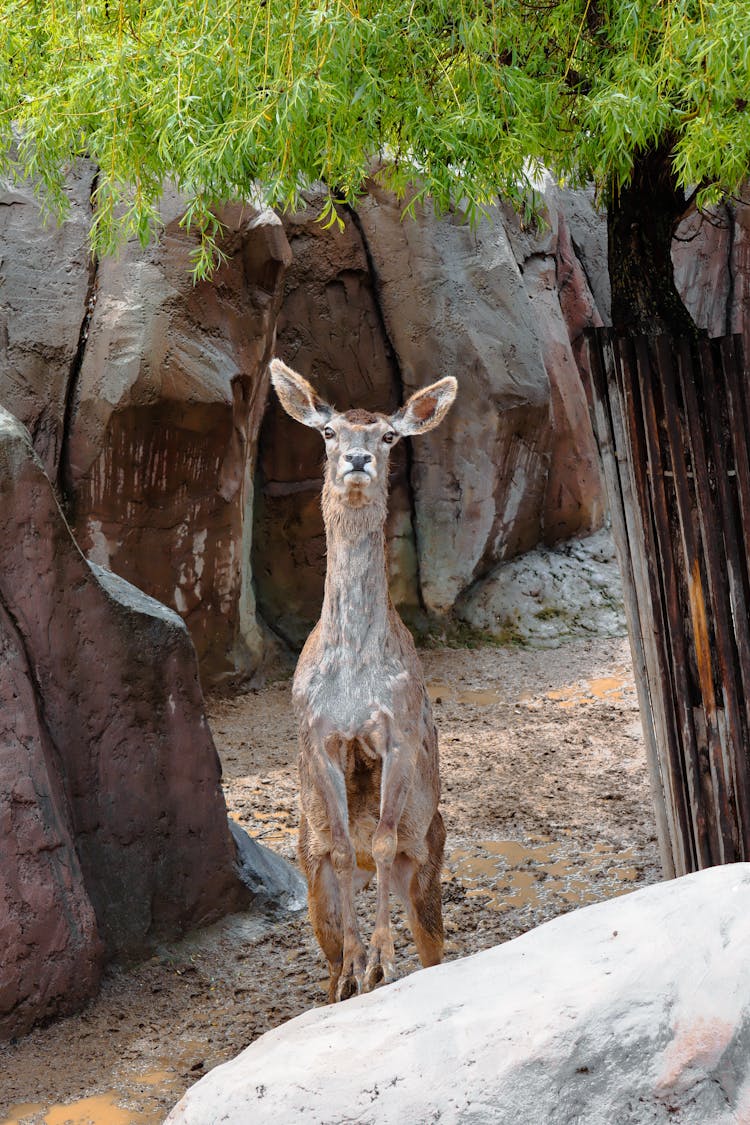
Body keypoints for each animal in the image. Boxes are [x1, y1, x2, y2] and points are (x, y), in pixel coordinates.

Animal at [269, 360, 458, 1003]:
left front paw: (380, 961)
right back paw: (344, 977)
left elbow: (377, 839)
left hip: (429, 854)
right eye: (328, 432)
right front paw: (358, 963)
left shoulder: (398, 729)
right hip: (310, 872)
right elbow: (350, 848)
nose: (356, 458)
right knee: (326, 959)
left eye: (389, 436)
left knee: (435, 946)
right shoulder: (317, 735)